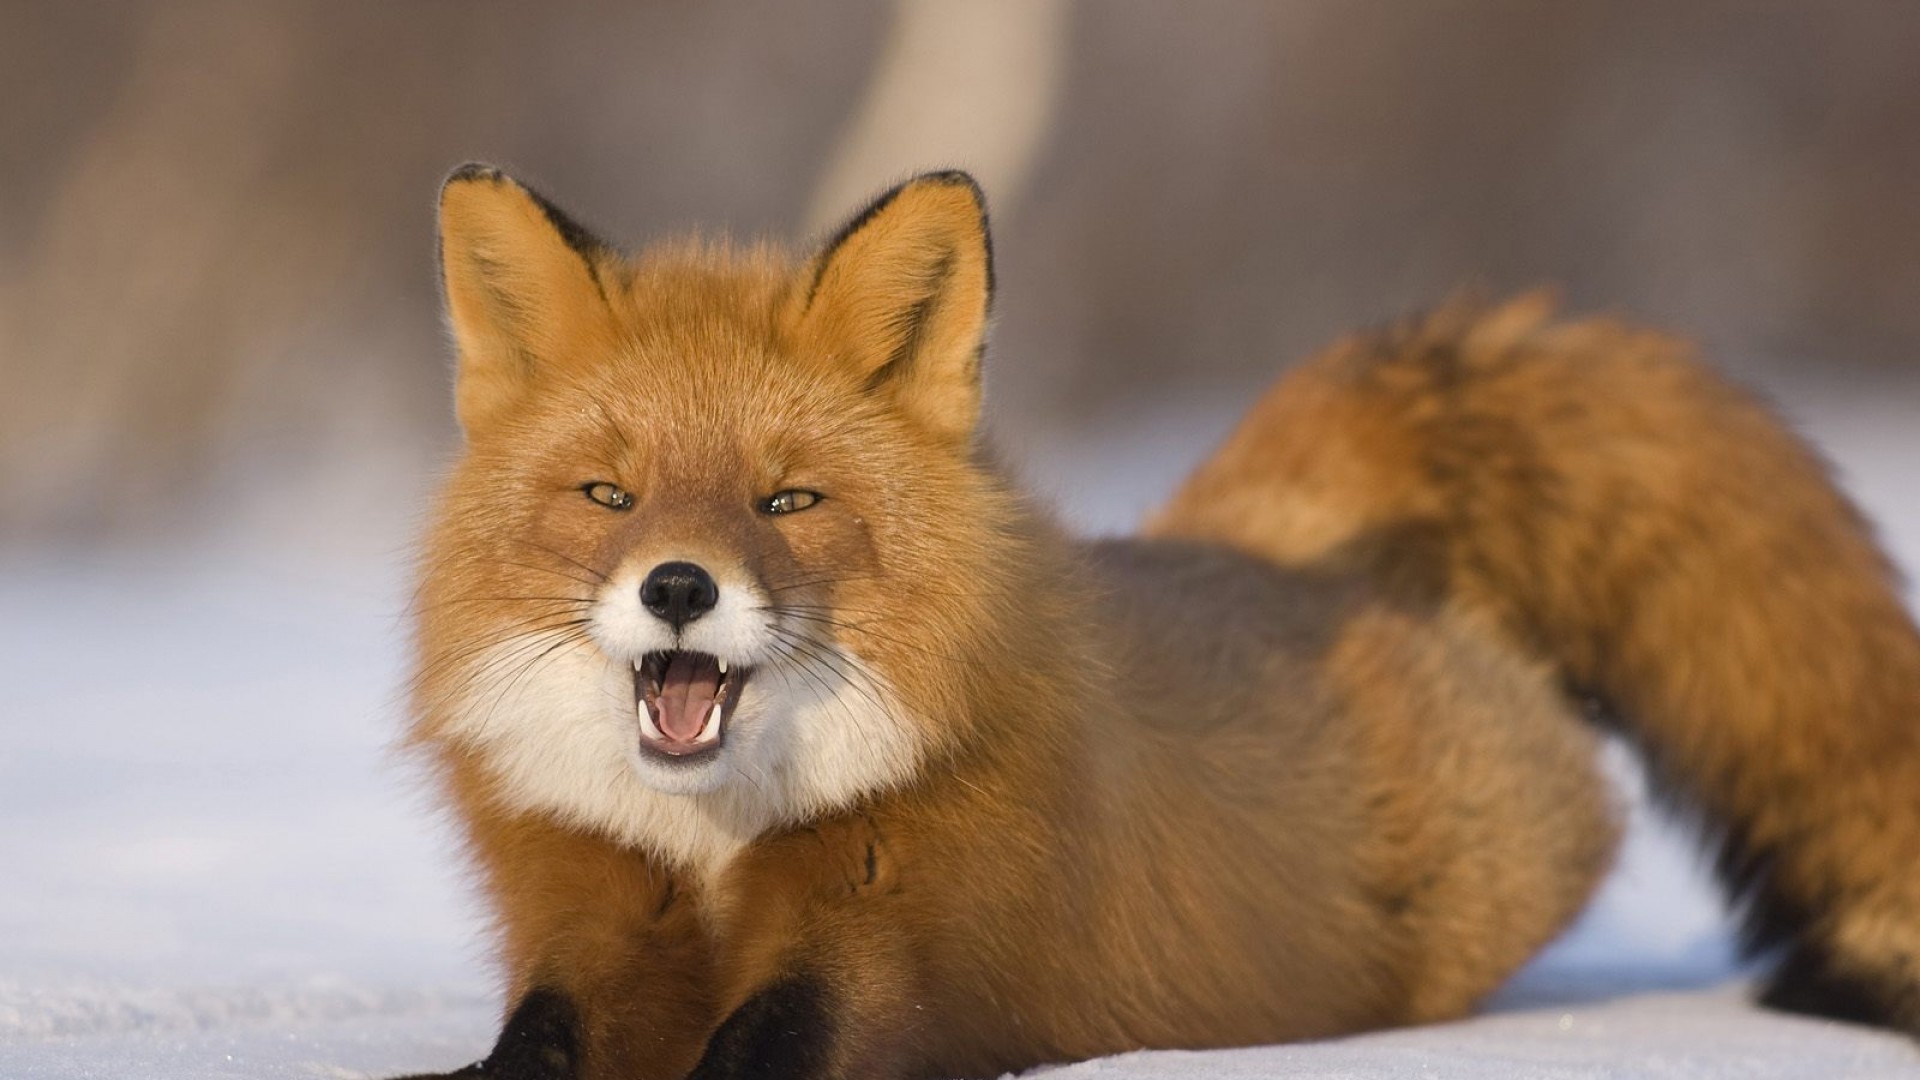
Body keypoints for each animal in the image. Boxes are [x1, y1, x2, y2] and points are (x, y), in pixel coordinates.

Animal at [402, 164, 1920, 1080]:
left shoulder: (899, 931)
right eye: (610, 494)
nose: (678, 585)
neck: (717, 843)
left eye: (787, 500)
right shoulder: (587, 907)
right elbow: (533, 1044)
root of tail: (1262, 543)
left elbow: (781, 1035)